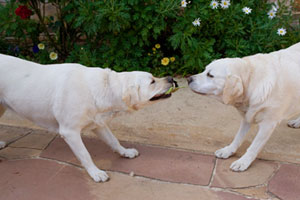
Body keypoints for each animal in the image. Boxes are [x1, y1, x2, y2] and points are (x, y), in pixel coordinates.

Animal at [0, 54, 175, 182]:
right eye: (152, 81)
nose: (171, 78)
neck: (105, 88)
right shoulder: (69, 132)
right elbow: (85, 154)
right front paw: (96, 173)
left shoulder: (99, 123)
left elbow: (113, 140)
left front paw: (125, 152)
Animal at [189, 42, 300, 172]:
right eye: (204, 70)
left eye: (210, 75)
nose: (188, 79)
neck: (252, 80)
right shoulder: (247, 116)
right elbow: (238, 137)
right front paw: (228, 150)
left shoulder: (268, 124)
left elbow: (254, 146)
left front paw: (243, 162)